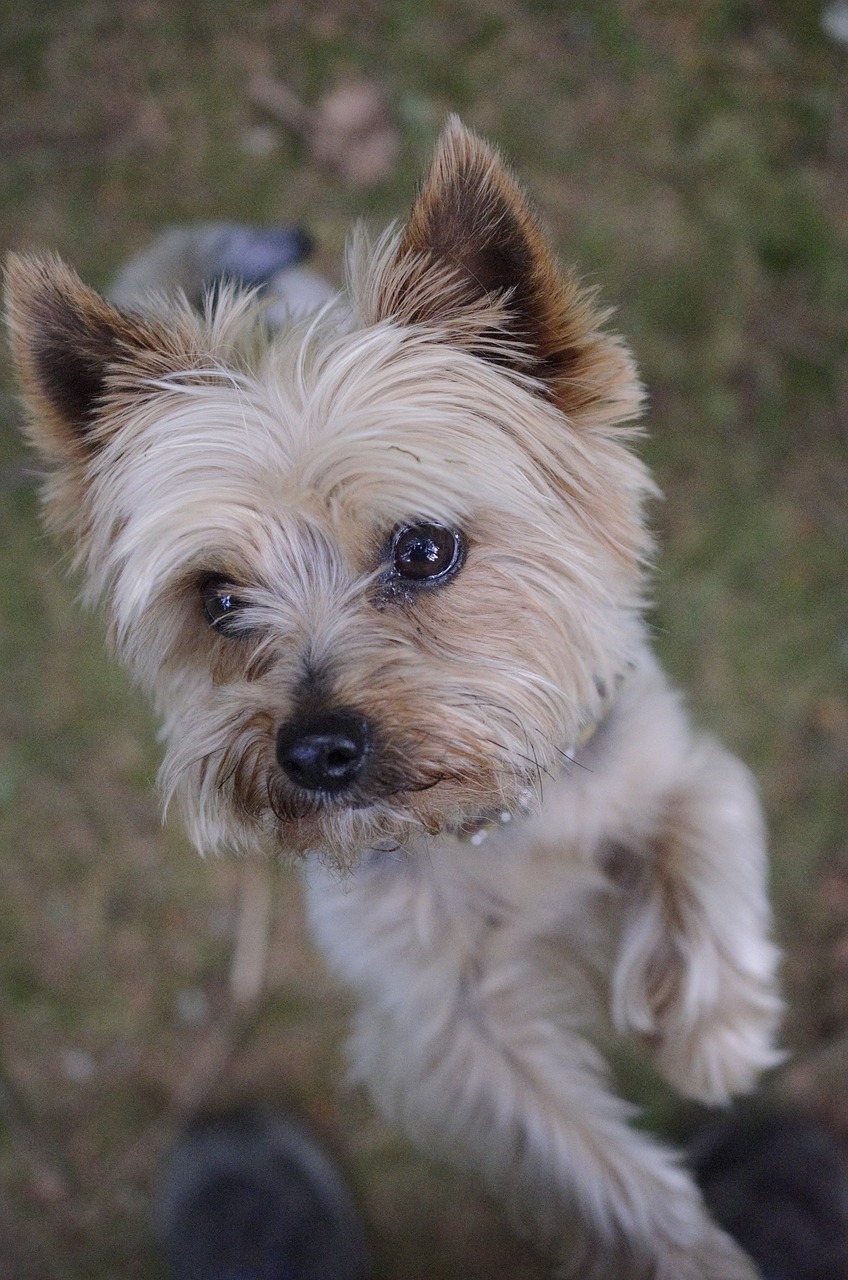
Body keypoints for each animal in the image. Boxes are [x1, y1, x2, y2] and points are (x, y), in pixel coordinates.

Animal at [3, 122, 783, 1280]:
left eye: (423, 550)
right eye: (218, 597)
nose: (315, 750)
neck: (491, 819)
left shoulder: (662, 755)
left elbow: (705, 844)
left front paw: (711, 1031)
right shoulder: (442, 1024)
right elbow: (589, 1168)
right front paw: (690, 1254)